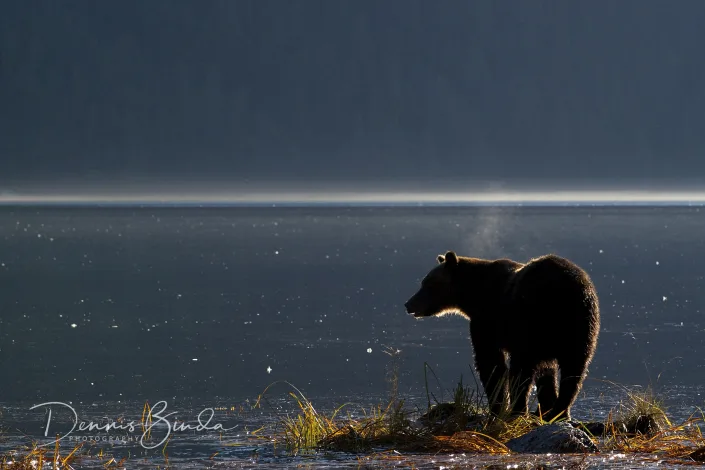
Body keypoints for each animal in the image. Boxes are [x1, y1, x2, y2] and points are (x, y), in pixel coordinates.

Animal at [405, 251, 600, 422]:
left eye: (428, 283)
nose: (408, 304)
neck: (471, 297)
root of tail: (568, 287)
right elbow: (547, 370)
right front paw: (546, 406)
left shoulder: (486, 321)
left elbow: (490, 363)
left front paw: (497, 408)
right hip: (580, 327)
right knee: (574, 370)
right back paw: (559, 411)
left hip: (531, 319)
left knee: (522, 369)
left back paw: (519, 410)